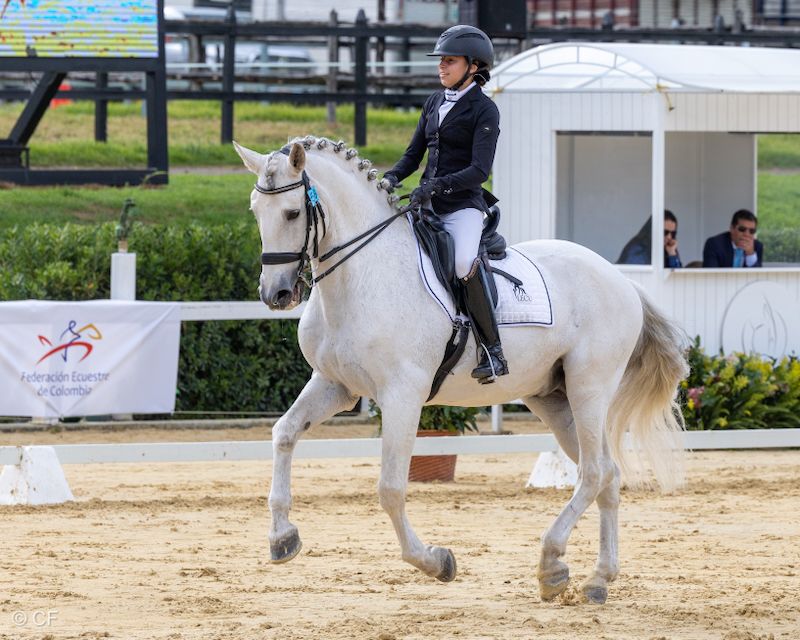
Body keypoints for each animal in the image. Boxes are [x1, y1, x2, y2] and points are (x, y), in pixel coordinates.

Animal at [233, 135, 688, 605]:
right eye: (255, 209)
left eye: (292, 213)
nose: (275, 294)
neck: (364, 275)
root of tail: (621, 279)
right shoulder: (335, 385)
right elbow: (284, 434)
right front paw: (282, 538)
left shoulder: (402, 395)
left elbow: (390, 488)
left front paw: (435, 561)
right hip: (553, 398)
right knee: (606, 475)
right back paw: (596, 578)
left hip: (589, 389)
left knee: (595, 472)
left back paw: (551, 562)